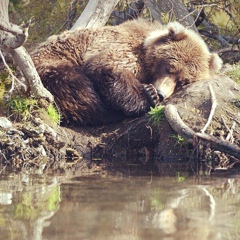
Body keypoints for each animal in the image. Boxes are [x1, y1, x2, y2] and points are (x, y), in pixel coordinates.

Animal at [31, 19, 223, 125]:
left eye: (183, 81)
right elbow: (106, 67)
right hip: (52, 62)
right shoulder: (121, 47)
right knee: (74, 88)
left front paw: (151, 93)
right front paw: (149, 94)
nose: (161, 93)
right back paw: (108, 114)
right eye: (169, 67)